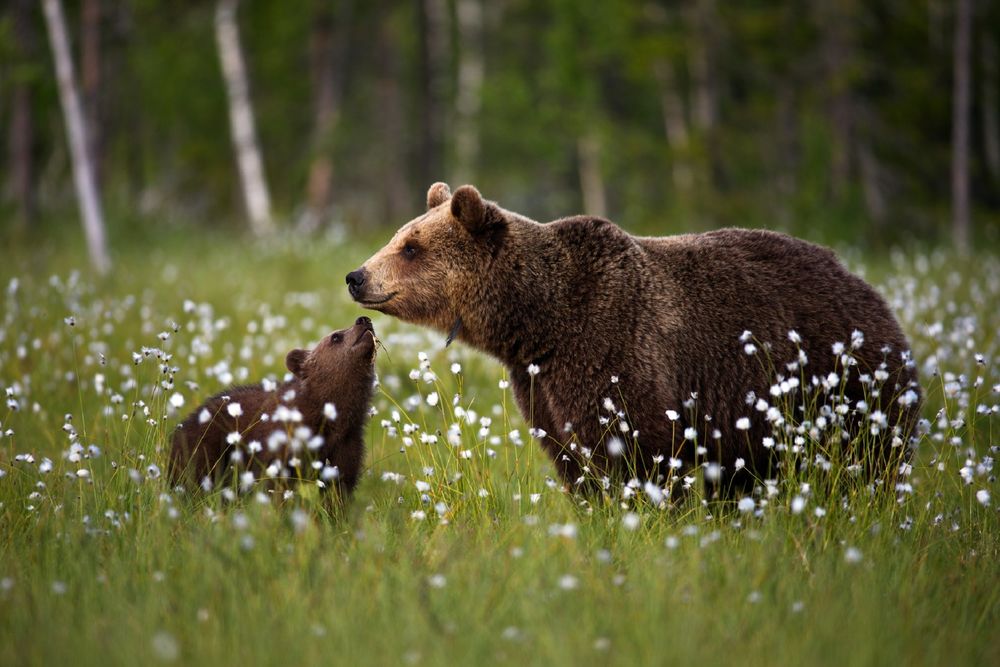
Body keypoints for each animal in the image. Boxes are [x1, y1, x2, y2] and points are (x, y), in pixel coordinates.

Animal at [348, 183, 916, 496]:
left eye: (412, 247)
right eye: (400, 237)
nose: (357, 276)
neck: (539, 321)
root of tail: (870, 290)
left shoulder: (613, 347)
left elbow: (636, 448)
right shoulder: (540, 383)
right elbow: (571, 458)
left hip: (845, 384)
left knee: (866, 460)